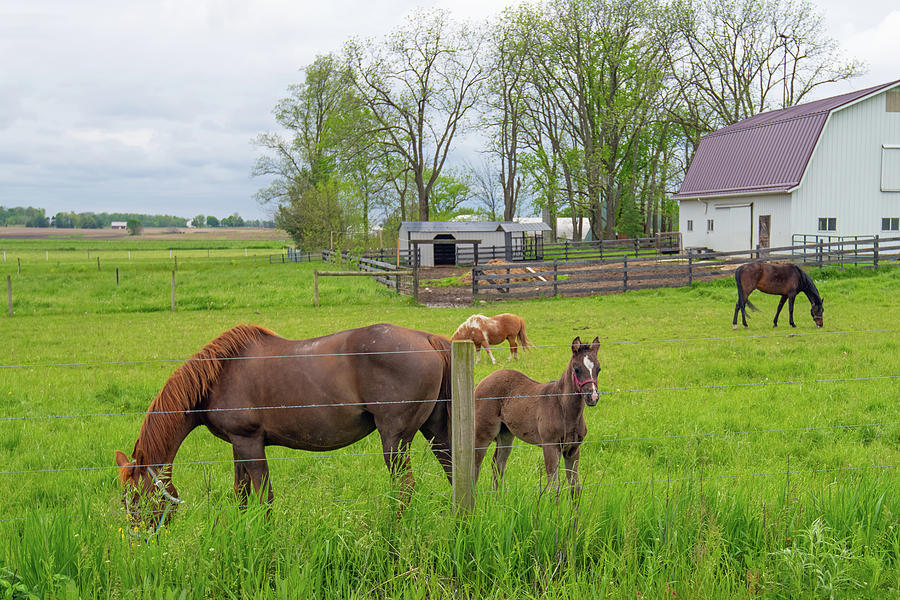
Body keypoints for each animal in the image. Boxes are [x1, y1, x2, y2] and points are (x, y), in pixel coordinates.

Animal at [117, 326, 454, 528]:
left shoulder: (250, 441)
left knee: (404, 485)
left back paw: (392, 528)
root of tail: (427, 339)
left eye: (136, 497)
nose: (138, 539)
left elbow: (263, 494)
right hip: (436, 432)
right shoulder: (238, 444)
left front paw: (265, 537)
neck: (219, 375)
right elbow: (241, 492)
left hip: (395, 440)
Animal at [474, 336, 600, 494]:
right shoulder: (550, 446)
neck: (563, 408)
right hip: (484, 432)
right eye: (576, 369)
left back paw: (498, 496)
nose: (593, 397)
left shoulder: (573, 449)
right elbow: (553, 487)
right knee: (475, 464)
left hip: (506, 434)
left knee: (498, 464)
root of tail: (484, 380)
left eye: (598, 369)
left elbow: (575, 486)